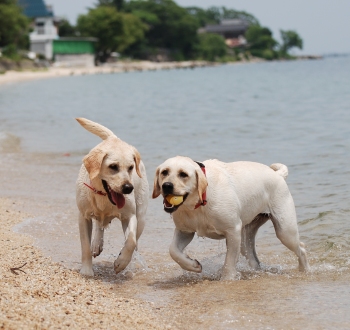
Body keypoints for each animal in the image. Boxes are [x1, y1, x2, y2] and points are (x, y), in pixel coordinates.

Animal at [76, 117, 148, 278]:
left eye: (131, 167)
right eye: (113, 166)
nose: (128, 188)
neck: (104, 196)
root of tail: (114, 138)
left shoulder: (129, 215)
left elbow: (131, 241)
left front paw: (121, 262)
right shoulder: (83, 216)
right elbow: (84, 246)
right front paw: (86, 271)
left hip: (141, 215)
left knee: (135, 238)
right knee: (99, 225)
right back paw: (96, 244)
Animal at [152, 156, 308, 280]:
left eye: (183, 174)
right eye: (164, 172)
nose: (166, 186)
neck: (200, 200)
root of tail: (278, 175)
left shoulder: (232, 230)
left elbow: (230, 260)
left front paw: (227, 279)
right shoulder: (185, 231)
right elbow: (173, 250)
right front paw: (193, 265)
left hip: (285, 231)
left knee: (301, 248)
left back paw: (304, 270)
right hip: (246, 237)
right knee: (252, 256)